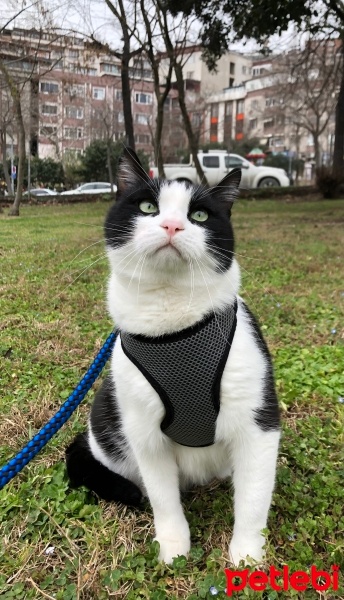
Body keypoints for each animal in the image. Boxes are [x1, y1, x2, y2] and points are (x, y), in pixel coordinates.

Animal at [66, 148, 280, 564]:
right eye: (149, 207)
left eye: (199, 216)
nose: (171, 226)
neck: (172, 327)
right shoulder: (143, 428)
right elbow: (163, 497)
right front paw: (174, 545)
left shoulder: (258, 421)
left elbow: (253, 500)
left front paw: (247, 557)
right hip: (106, 410)